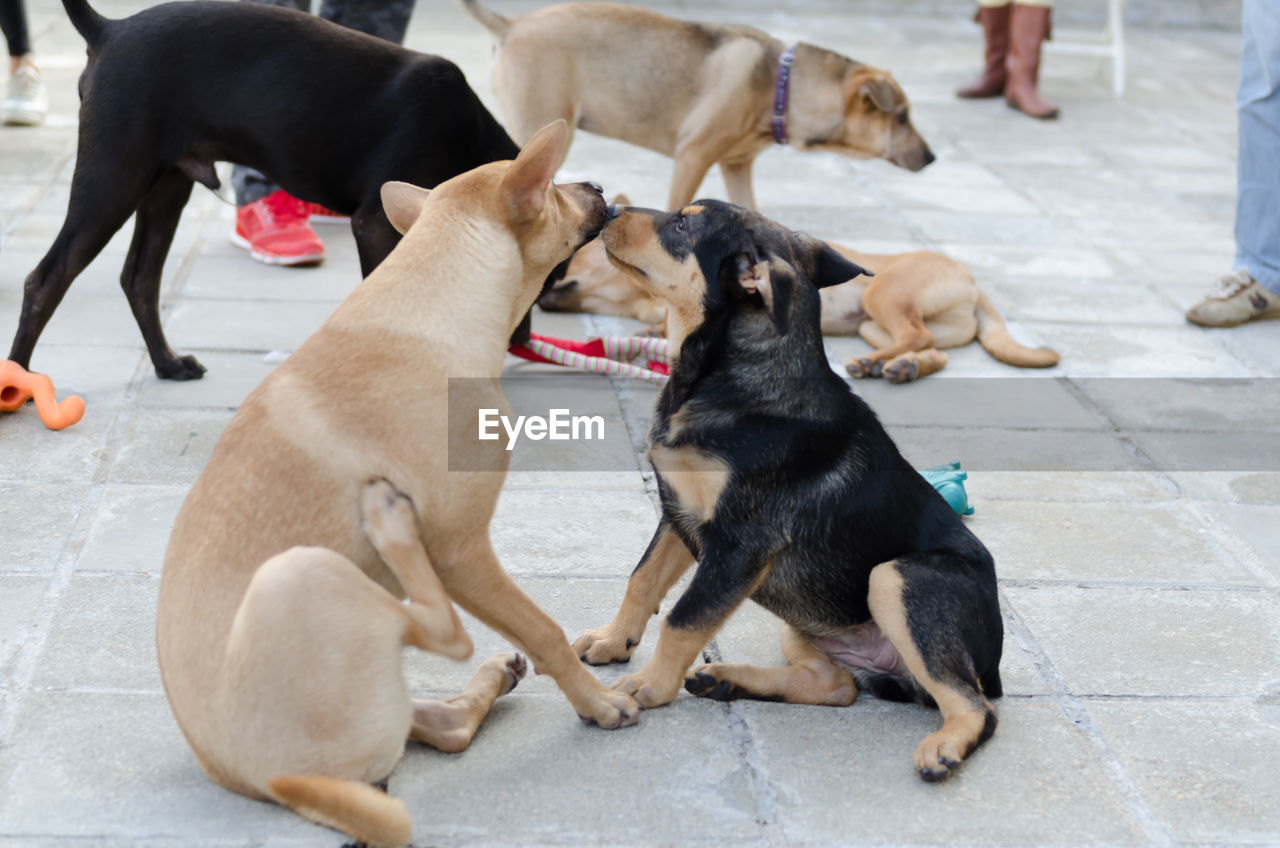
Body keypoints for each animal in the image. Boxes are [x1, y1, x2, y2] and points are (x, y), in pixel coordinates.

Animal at [157, 121, 637, 848]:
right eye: (555, 188)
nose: (600, 186)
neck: (432, 297)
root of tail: (278, 783)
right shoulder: (463, 550)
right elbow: (546, 630)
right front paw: (597, 702)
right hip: (303, 572)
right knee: (447, 634)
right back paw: (392, 531)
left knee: (446, 727)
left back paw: (486, 681)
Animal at [460, 0, 931, 212]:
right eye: (901, 116)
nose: (931, 158)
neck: (780, 86)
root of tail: (510, 25)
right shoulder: (693, 156)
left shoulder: (737, 165)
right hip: (538, 130)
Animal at [540, 211, 1059, 384]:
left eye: (566, 264)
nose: (539, 296)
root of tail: (974, 282)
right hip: (873, 324)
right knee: (934, 349)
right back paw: (898, 367)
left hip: (883, 296)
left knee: (918, 334)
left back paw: (883, 365)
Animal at [576, 199, 1003, 783]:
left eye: (682, 226)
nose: (610, 206)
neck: (730, 377)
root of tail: (995, 664)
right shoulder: (678, 512)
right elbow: (642, 580)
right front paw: (613, 640)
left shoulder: (741, 542)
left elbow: (685, 617)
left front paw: (649, 686)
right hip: (805, 623)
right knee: (839, 687)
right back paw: (725, 678)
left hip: (896, 578)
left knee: (972, 704)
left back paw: (944, 747)